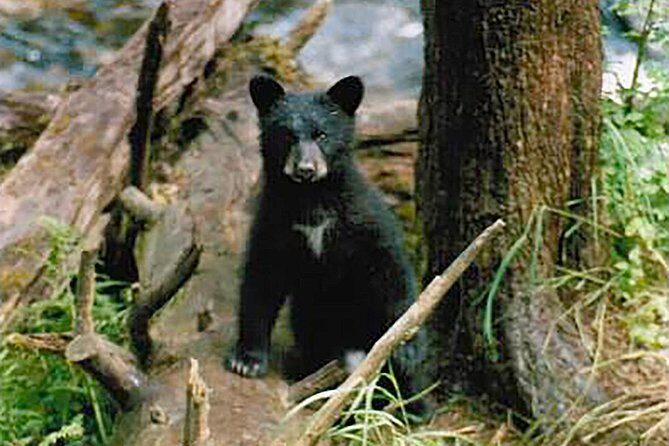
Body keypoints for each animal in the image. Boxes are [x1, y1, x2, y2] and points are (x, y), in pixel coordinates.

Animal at [226, 74, 429, 414]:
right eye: (287, 135)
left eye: (321, 134)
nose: (305, 170)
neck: (313, 200)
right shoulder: (275, 224)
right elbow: (261, 281)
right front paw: (246, 359)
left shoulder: (366, 222)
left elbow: (392, 271)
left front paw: (408, 350)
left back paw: (414, 408)